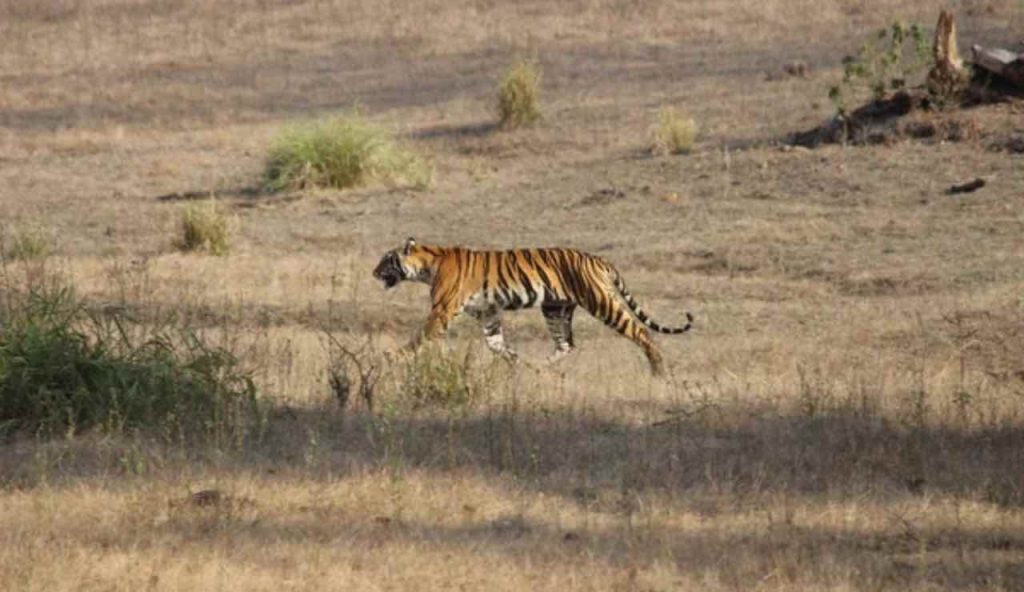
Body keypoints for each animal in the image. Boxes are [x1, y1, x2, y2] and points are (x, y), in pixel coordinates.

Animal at [376, 236, 696, 370]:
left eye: (385, 260)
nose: (373, 272)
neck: (427, 265)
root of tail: (598, 259)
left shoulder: (442, 310)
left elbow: (421, 336)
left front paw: (394, 357)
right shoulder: (487, 312)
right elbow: (496, 344)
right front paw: (518, 364)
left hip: (600, 301)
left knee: (641, 332)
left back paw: (658, 368)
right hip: (555, 308)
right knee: (566, 345)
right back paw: (540, 367)